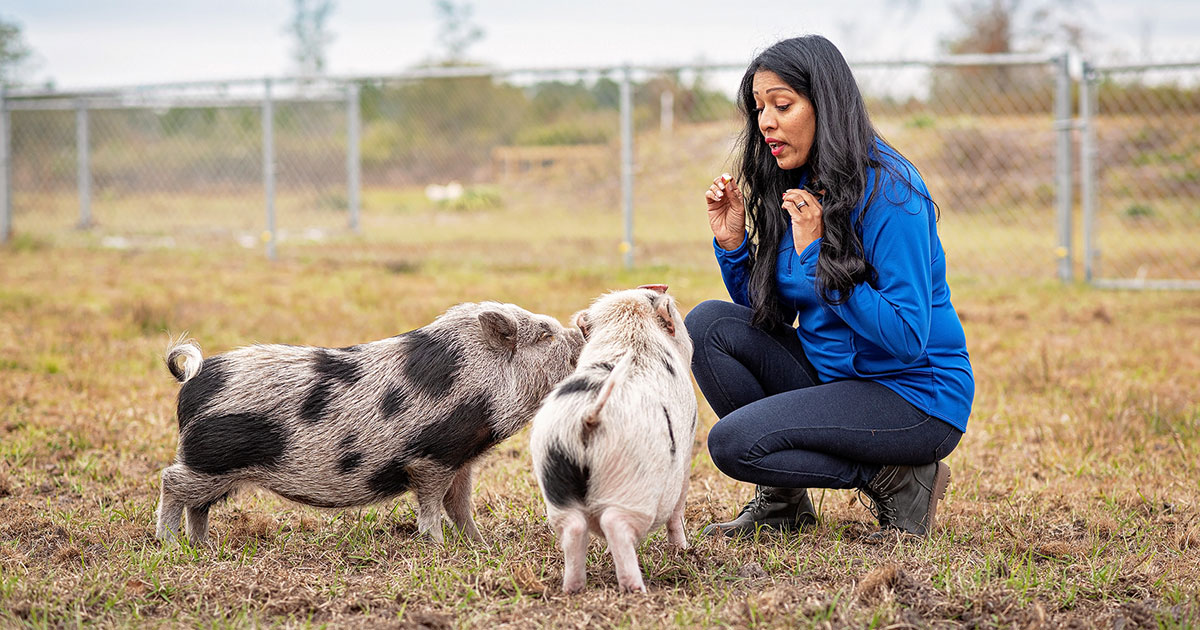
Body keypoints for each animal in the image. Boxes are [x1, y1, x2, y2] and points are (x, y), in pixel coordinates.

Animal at [156, 301, 584, 545]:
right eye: (546, 335)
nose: (580, 332)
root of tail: (194, 381)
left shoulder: (461, 459)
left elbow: (460, 505)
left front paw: (481, 545)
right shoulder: (432, 456)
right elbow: (433, 505)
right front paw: (438, 546)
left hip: (216, 470)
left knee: (198, 505)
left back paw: (204, 546)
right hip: (209, 460)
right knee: (171, 482)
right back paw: (171, 545)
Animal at [529, 285, 696, 594]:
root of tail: (588, 416)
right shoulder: (688, 443)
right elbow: (678, 508)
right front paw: (683, 550)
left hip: (553, 474)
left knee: (573, 528)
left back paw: (573, 589)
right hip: (633, 482)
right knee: (616, 524)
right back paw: (636, 589)